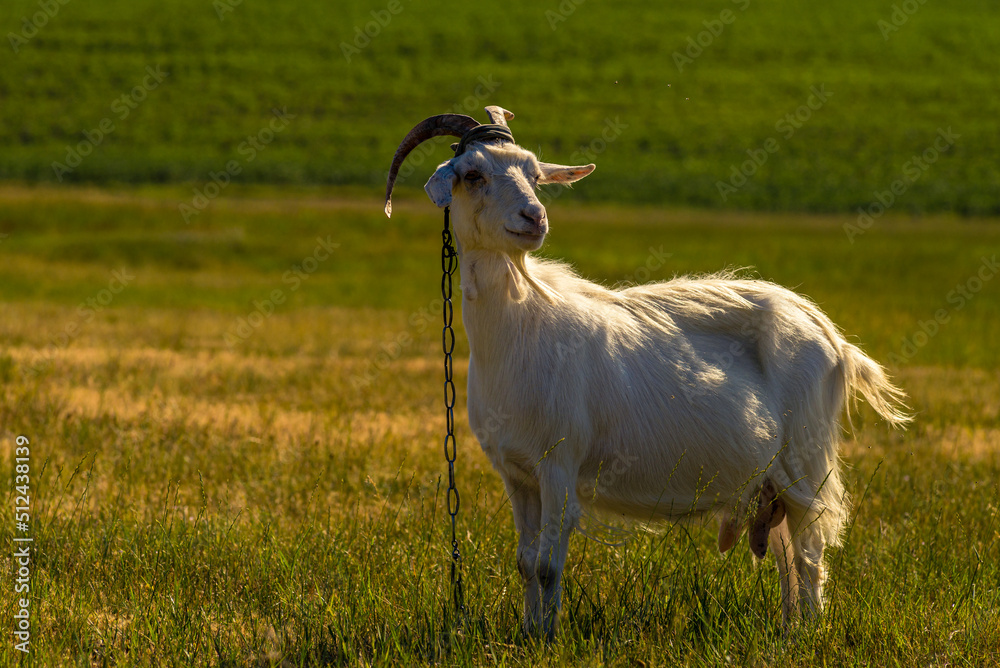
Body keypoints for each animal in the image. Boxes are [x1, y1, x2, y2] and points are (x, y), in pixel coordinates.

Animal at [384, 106, 910, 639]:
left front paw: (549, 639)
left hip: (806, 457)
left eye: (534, 175)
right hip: (772, 478)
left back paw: (809, 631)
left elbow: (548, 565)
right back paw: (788, 629)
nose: (534, 218)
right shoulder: (517, 473)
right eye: (473, 174)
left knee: (809, 553)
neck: (520, 328)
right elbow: (526, 562)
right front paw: (531, 631)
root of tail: (830, 335)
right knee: (787, 554)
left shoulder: (559, 463)